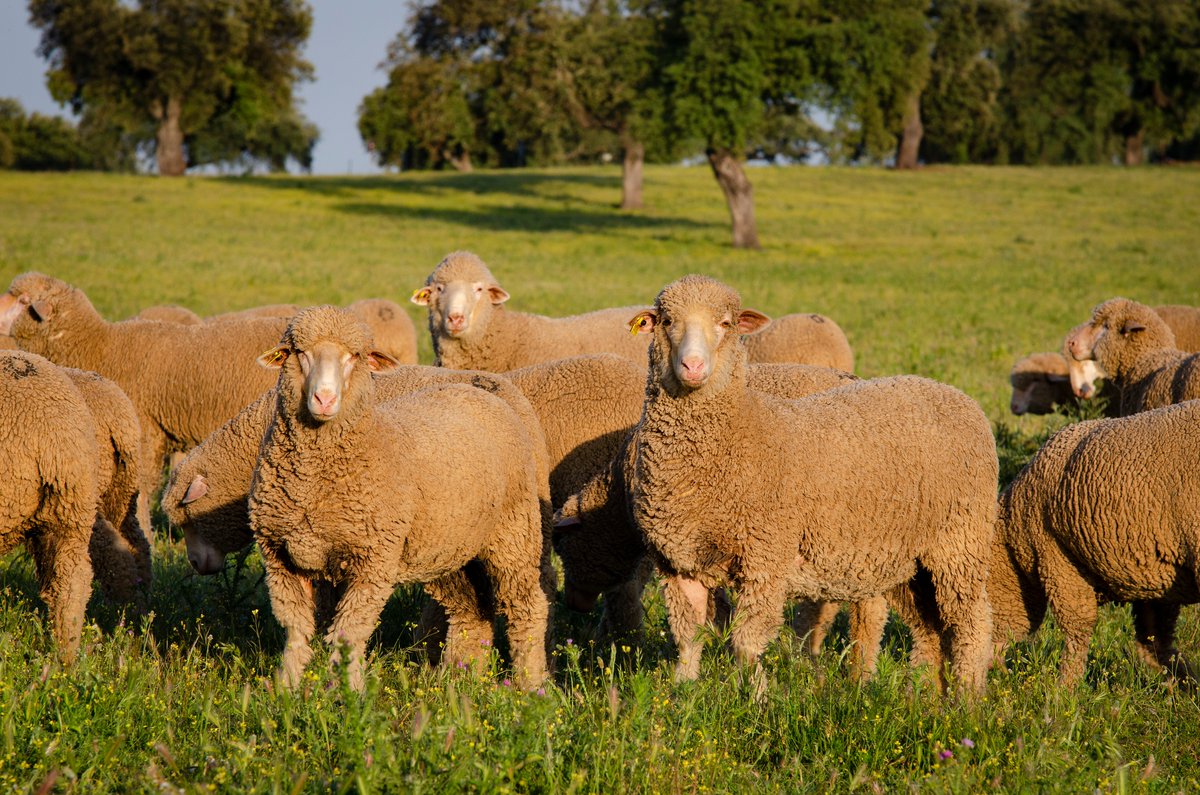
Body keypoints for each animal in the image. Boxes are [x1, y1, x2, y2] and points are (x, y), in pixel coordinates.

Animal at [248, 306, 549, 690]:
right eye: (298, 353)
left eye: (355, 356)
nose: (325, 399)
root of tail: (480, 392)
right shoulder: (279, 557)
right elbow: (296, 630)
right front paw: (286, 688)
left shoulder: (373, 560)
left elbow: (349, 632)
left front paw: (348, 693)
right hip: (449, 548)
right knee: (471, 611)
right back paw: (462, 679)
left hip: (514, 533)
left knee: (527, 607)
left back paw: (531, 684)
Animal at [615, 275, 996, 694]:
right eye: (667, 321)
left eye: (726, 324)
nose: (693, 366)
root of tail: (956, 394)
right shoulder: (678, 563)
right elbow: (688, 638)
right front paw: (684, 693)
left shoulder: (765, 556)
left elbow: (746, 642)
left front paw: (757, 697)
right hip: (905, 560)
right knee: (930, 631)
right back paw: (925, 696)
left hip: (959, 541)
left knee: (973, 624)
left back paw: (967, 697)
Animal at [990, 400, 1200, 685]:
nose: (996, 671)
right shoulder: (1155, 575)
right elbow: (1155, 642)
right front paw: (1183, 684)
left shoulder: (1058, 559)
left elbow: (1078, 629)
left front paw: (1064, 687)